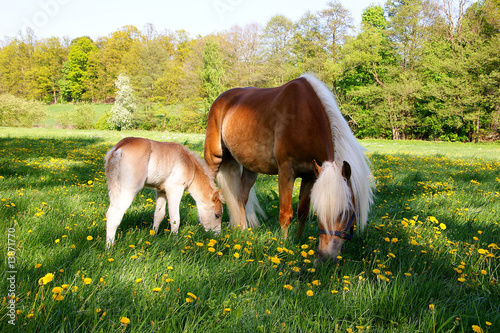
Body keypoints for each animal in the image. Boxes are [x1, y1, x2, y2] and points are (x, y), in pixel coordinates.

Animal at [203, 74, 372, 260]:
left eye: (347, 212)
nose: (325, 256)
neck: (305, 117)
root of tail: (222, 99)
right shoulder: (286, 171)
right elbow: (286, 213)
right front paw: (283, 245)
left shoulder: (310, 175)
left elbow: (302, 212)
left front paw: (299, 240)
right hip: (214, 159)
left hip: (250, 168)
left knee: (241, 198)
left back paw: (242, 229)